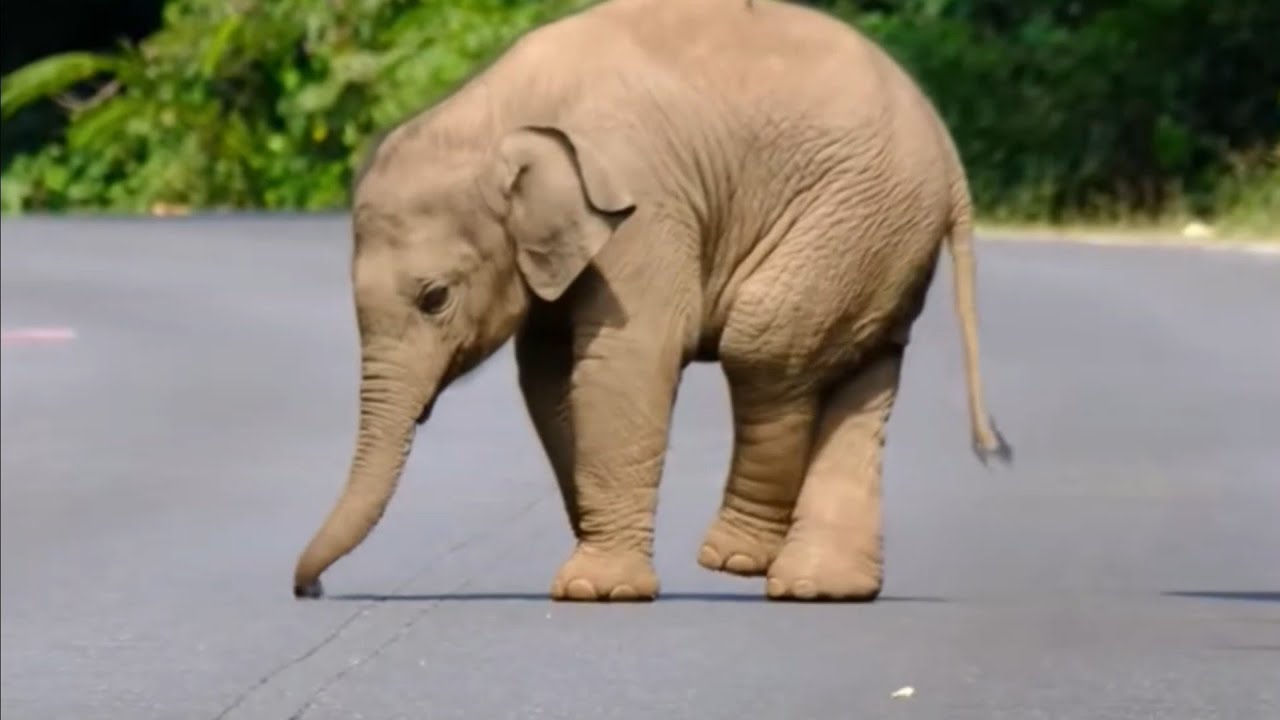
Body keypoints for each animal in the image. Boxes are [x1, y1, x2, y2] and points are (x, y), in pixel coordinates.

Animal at [292, 0, 1012, 603]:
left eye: (435, 298)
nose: (311, 589)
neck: (499, 115)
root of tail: (946, 151)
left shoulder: (643, 209)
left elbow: (626, 360)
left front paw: (595, 591)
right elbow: (549, 374)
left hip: (853, 218)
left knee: (765, 346)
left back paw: (737, 559)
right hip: (880, 239)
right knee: (863, 371)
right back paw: (820, 589)